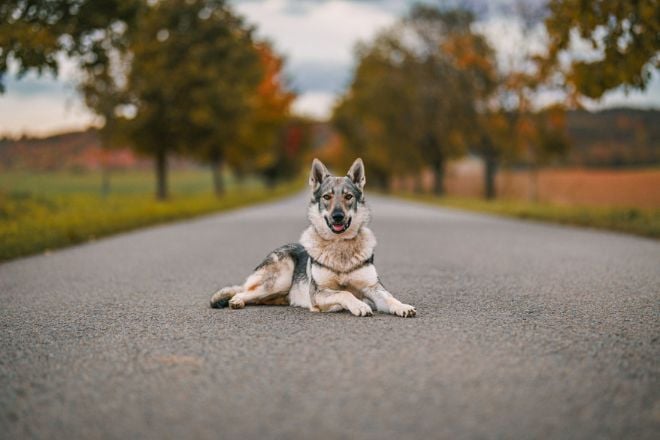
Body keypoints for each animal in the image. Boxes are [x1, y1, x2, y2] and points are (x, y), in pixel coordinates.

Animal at [210, 158, 418, 316]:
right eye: (327, 197)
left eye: (348, 197)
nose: (337, 216)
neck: (340, 249)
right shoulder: (318, 293)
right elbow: (345, 294)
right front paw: (359, 305)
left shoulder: (373, 288)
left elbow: (389, 297)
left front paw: (402, 307)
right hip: (278, 281)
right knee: (243, 292)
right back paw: (236, 301)